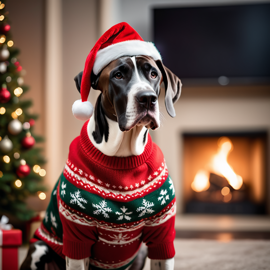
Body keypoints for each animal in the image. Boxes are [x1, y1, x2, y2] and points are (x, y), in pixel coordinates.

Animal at [21, 25, 181, 270]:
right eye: (118, 75)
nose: (147, 98)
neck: (122, 154)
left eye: (153, 74)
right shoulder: (77, 238)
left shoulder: (161, 235)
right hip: (40, 247)